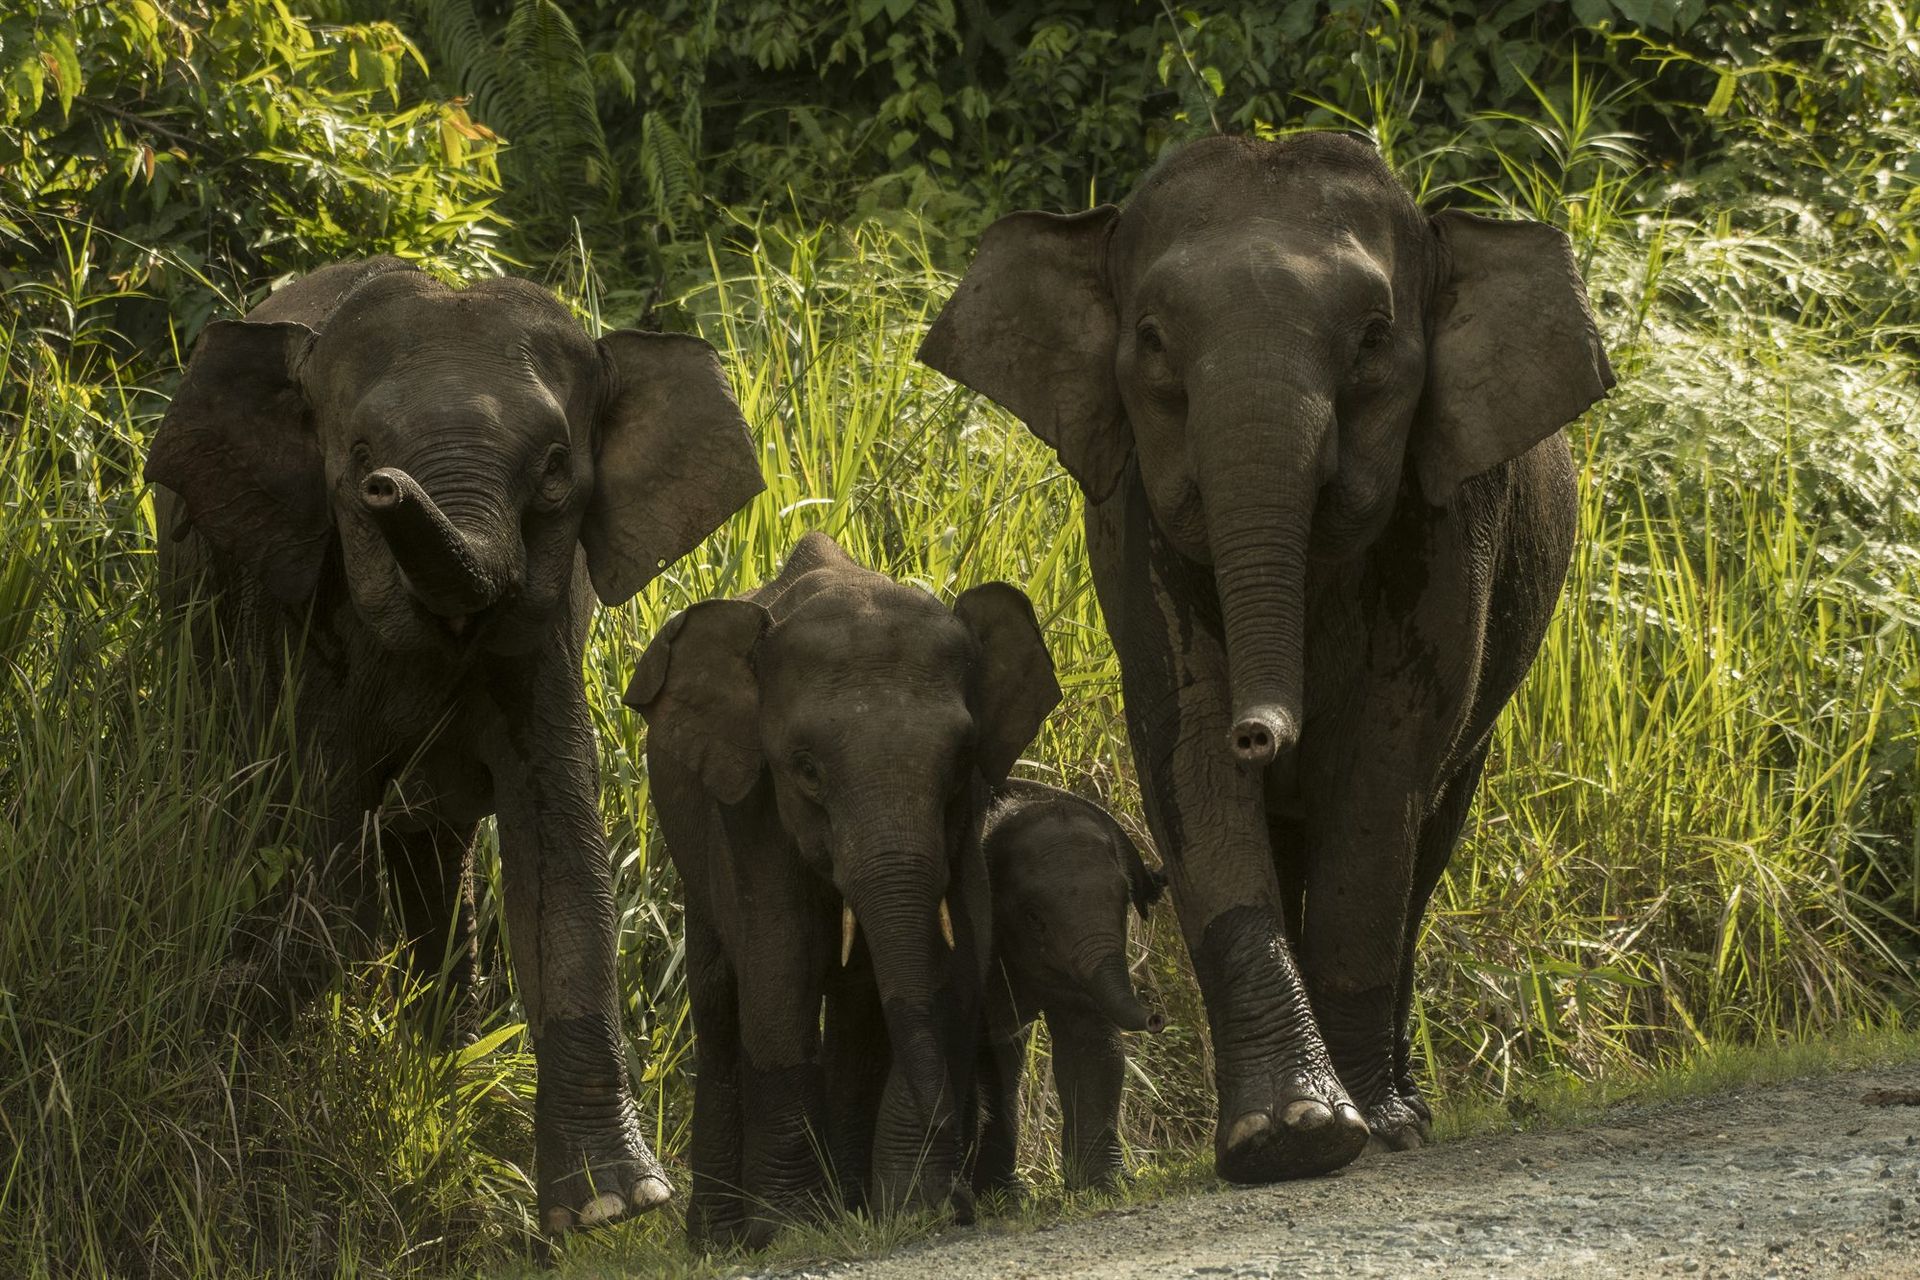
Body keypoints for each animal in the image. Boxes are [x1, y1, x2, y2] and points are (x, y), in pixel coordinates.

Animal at [143, 255, 765, 1233]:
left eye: (555, 470)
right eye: (358, 460)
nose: (388, 489)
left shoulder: (545, 635)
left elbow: (560, 859)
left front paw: (610, 1207)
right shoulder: (293, 616)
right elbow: (327, 848)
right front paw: (222, 1003)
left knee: (438, 854)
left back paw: (449, 1061)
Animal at [623, 531, 1061, 1248]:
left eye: (961, 759)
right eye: (805, 769)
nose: (966, 1200)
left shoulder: (966, 815)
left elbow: (961, 949)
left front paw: (914, 1209)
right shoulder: (749, 803)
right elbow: (782, 959)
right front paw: (789, 1232)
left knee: (857, 1004)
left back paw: (849, 1204)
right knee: (718, 996)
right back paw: (719, 1239)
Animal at [973, 780, 1166, 1198]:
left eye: (1125, 901)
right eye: (1033, 919)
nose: (1156, 1018)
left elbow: (1091, 1045)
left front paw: (1108, 1188)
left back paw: (1005, 1197)